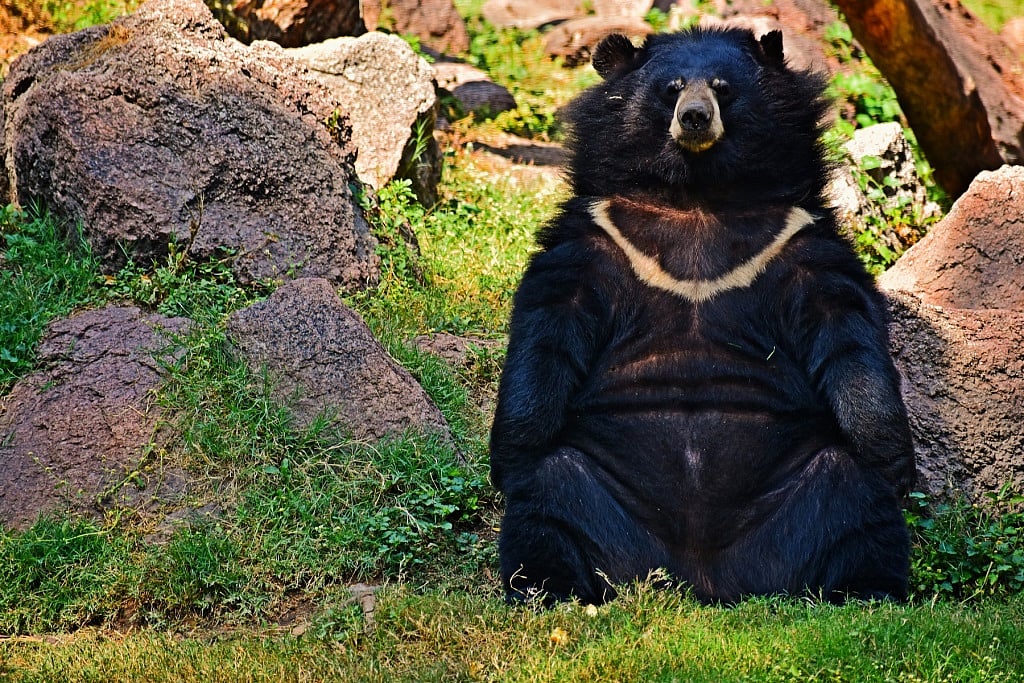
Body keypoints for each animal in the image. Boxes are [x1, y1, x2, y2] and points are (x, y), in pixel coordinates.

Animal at [488, 26, 916, 606]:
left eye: (722, 88)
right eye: (671, 89)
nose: (694, 118)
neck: (697, 193)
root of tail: (700, 575)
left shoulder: (795, 238)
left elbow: (846, 327)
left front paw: (896, 463)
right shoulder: (599, 235)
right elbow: (549, 325)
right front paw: (508, 458)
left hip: (803, 489)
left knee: (858, 503)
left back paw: (867, 589)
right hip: (598, 487)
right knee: (549, 499)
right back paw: (551, 588)